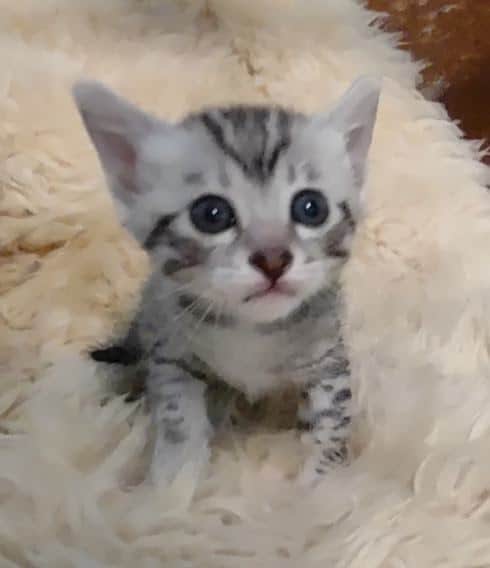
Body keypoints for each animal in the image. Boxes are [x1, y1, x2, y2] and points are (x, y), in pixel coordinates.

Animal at [73, 76, 380, 486]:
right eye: (212, 214)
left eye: (311, 208)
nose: (273, 259)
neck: (251, 331)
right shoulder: (170, 351)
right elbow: (177, 416)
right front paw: (172, 484)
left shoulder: (329, 360)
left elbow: (332, 421)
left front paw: (319, 484)